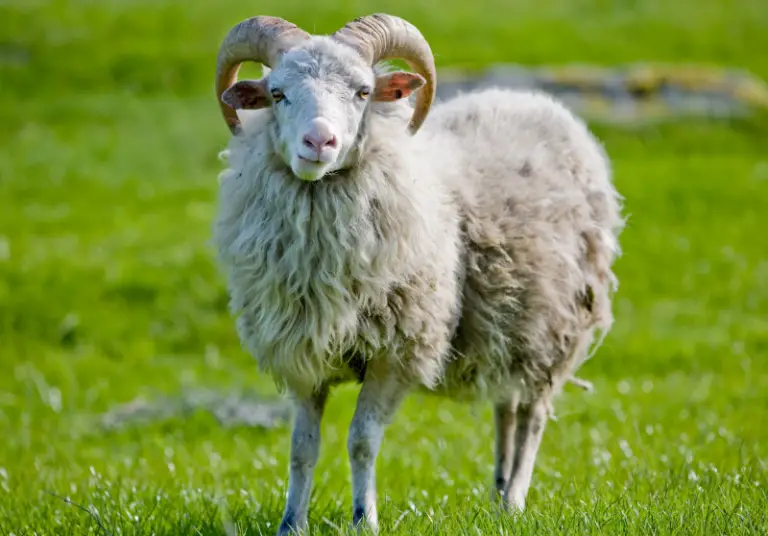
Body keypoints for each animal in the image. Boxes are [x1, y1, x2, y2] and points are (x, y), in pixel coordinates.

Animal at [212, 13, 624, 535]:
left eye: (363, 92)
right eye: (277, 92)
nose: (319, 142)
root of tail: (529, 97)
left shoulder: (397, 354)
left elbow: (362, 440)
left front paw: (364, 520)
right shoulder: (302, 355)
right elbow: (302, 449)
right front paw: (292, 523)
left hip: (555, 326)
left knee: (532, 414)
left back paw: (515, 498)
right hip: (511, 324)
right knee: (506, 408)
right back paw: (497, 494)